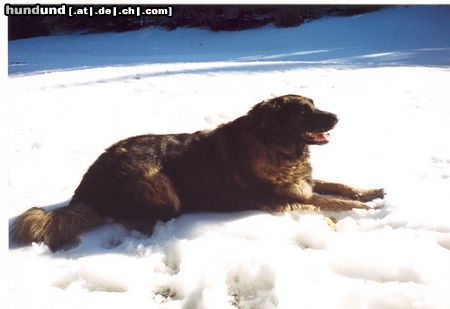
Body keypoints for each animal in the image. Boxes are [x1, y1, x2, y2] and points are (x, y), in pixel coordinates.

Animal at [11, 94, 384, 250]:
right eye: (304, 111)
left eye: (315, 105)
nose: (337, 117)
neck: (274, 142)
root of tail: (85, 186)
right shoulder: (284, 198)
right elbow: (330, 200)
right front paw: (362, 210)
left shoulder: (302, 183)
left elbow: (338, 185)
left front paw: (371, 193)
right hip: (157, 181)